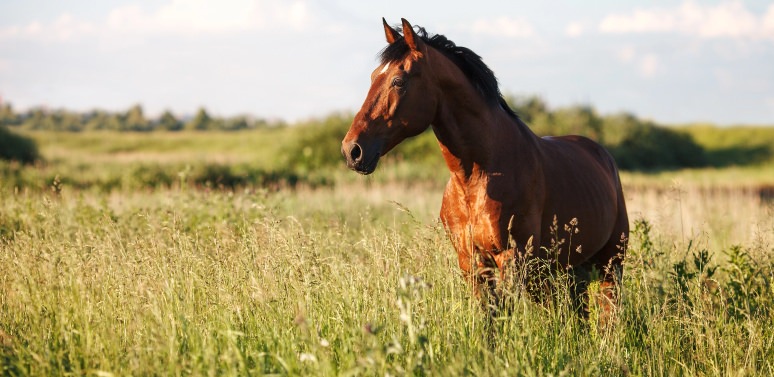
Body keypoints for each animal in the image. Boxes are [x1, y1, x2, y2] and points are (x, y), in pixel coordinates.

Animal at [344, 18, 632, 324]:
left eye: (398, 81)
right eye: (373, 76)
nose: (352, 150)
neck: (478, 177)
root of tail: (602, 155)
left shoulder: (512, 259)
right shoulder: (471, 262)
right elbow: (489, 319)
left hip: (610, 262)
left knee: (609, 313)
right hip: (569, 269)